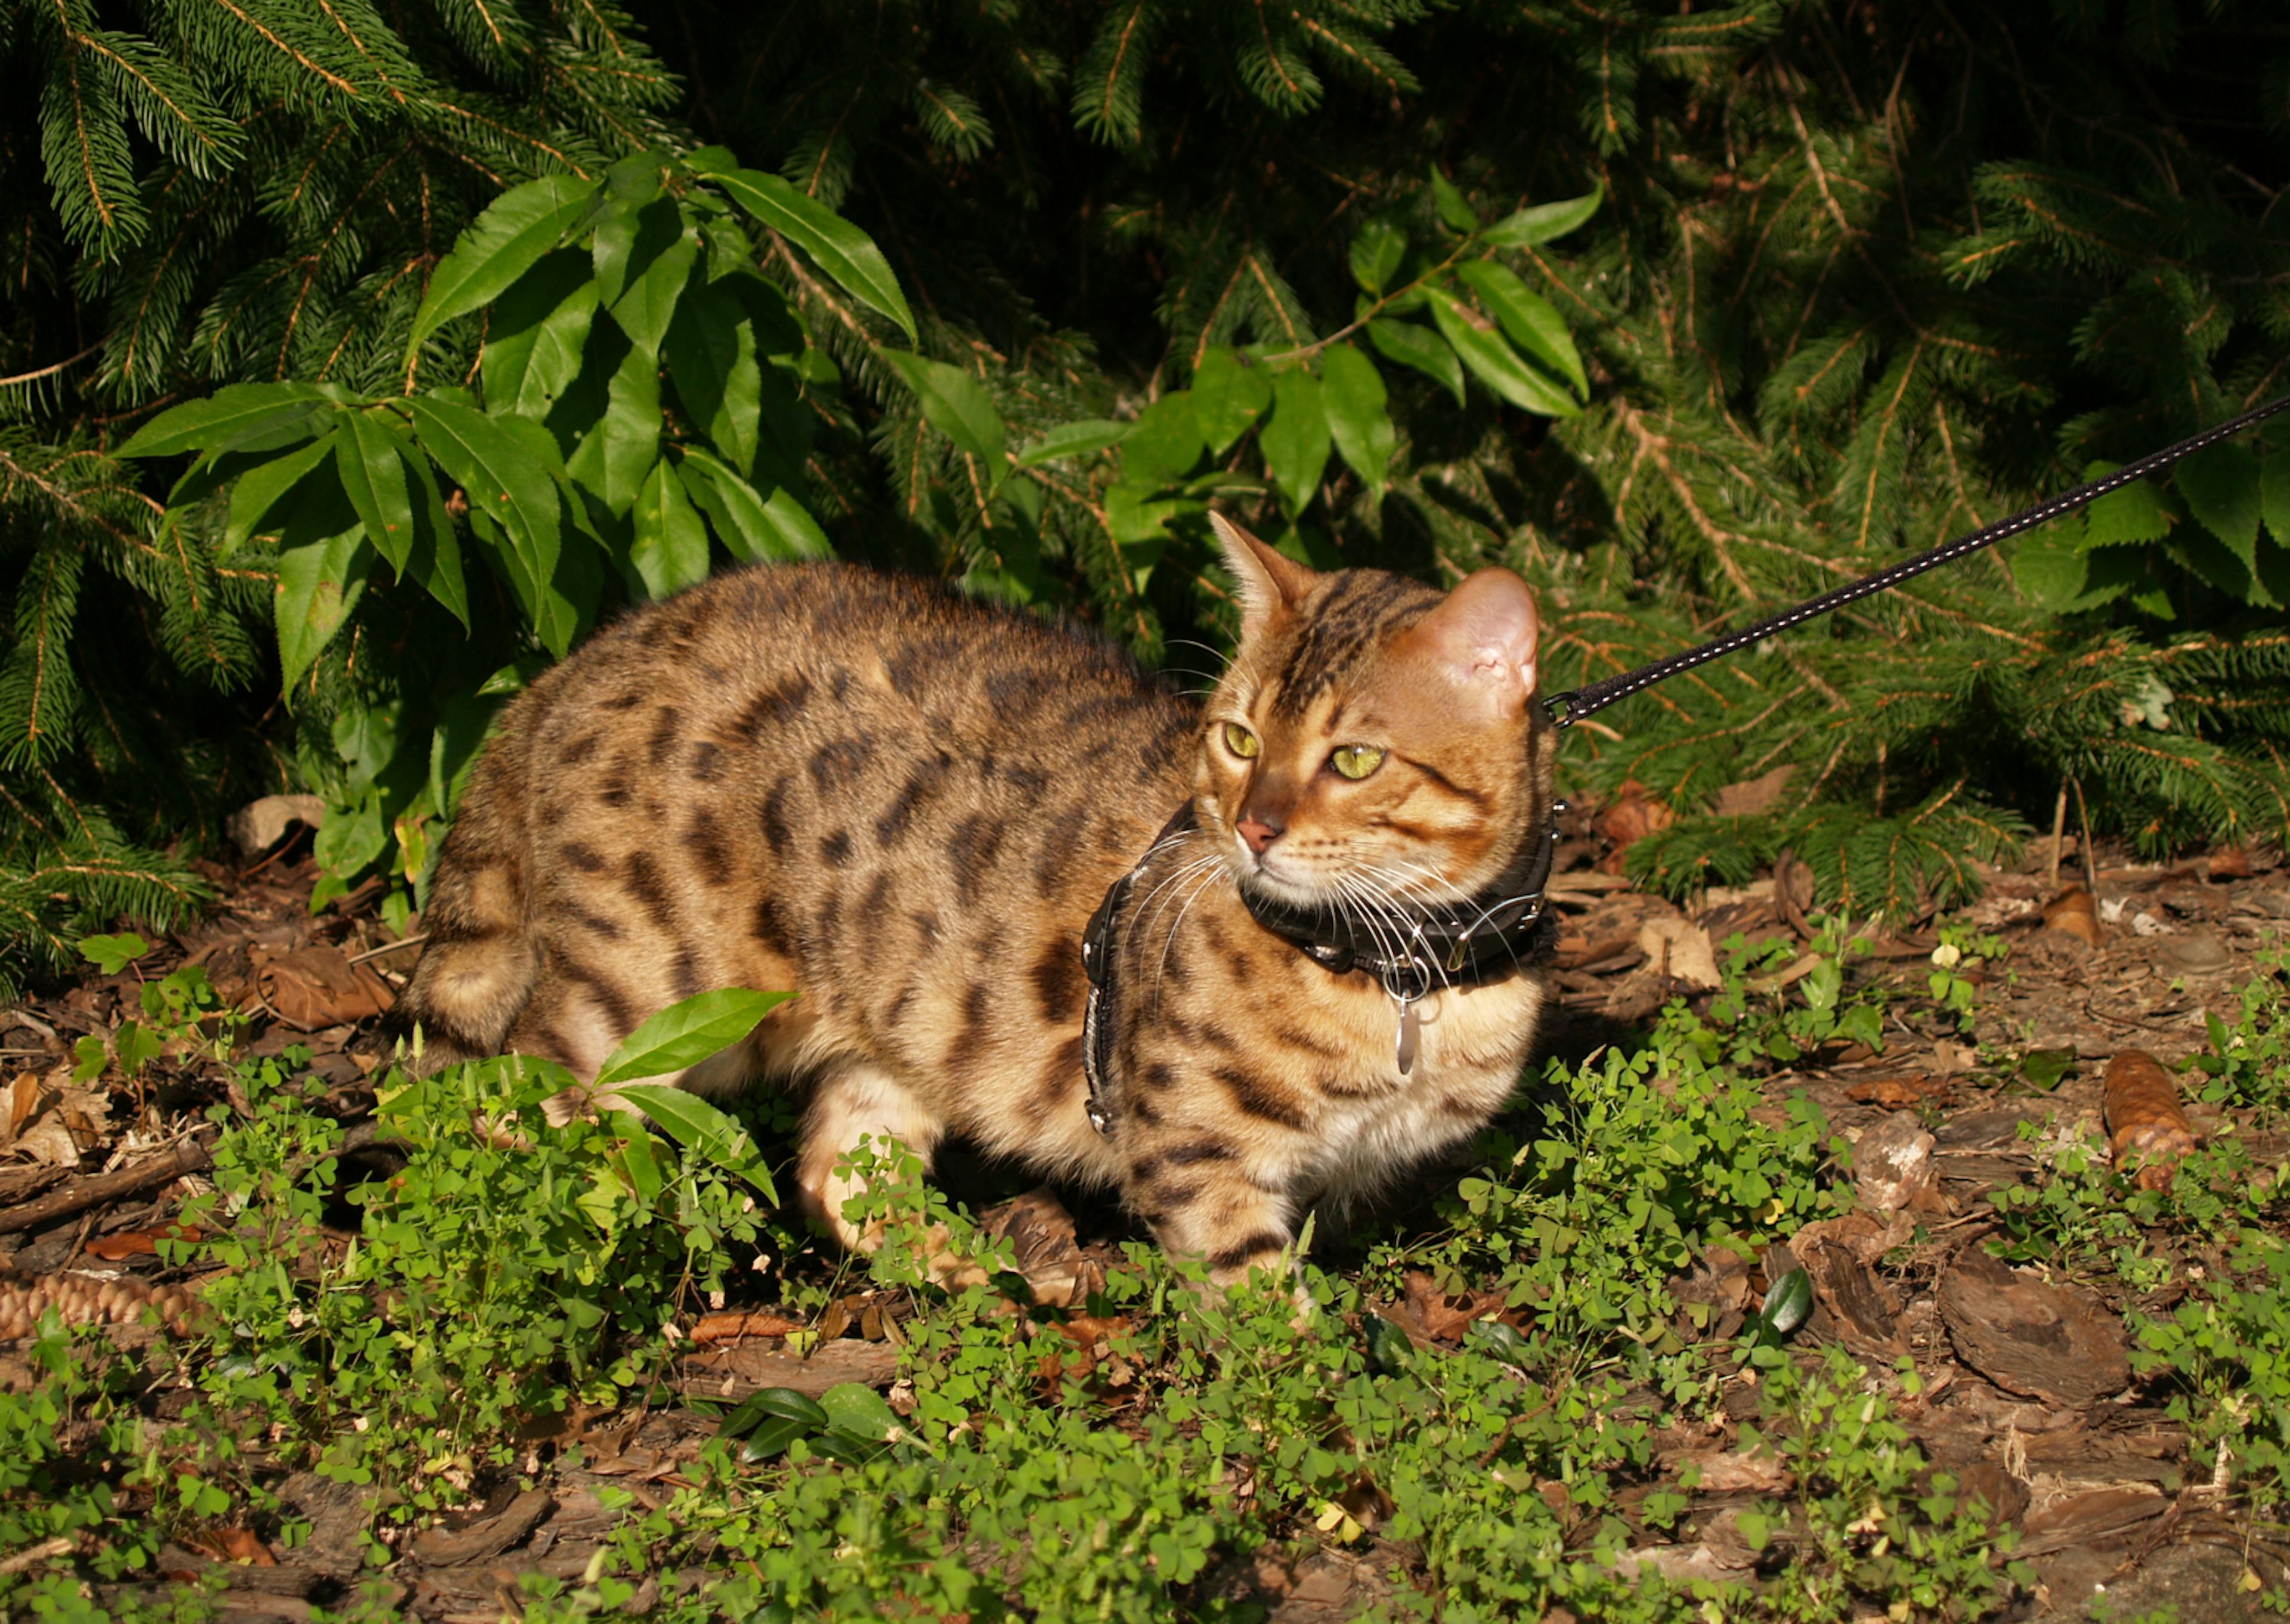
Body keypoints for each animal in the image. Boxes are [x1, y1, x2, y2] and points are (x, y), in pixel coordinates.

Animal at [403, 513, 1566, 1282]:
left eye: (1355, 758)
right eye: (1239, 740)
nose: (1254, 825)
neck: (1404, 967)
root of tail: (588, 656)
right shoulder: (1199, 1152)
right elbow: (1261, 1305)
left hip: (901, 1026)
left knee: (838, 1175)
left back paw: (979, 1271)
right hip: (646, 992)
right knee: (516, 1105)